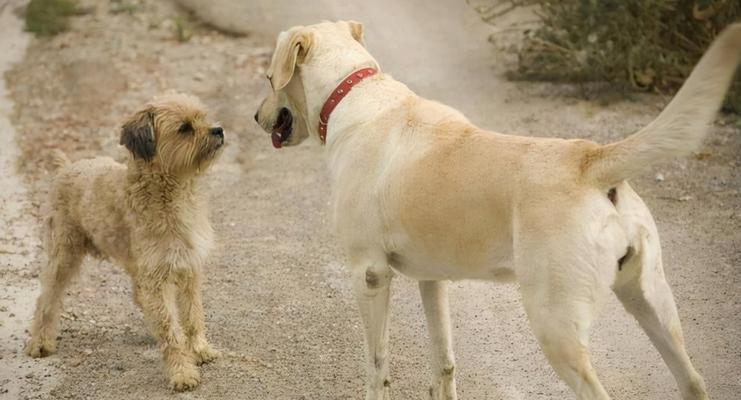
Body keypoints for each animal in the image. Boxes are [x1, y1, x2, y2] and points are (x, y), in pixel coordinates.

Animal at [25, 93, 223, 390]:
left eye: (203, 117)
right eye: (185, 128)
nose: (218, 130)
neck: (170, 194)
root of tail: (66, 168)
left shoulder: (188, 270)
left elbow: (192, 316)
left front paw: (200, 350)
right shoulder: (158, 276)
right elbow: (171, 329)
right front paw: (181, 372)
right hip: (63, 257)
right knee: (46, 299)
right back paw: (40, 342)